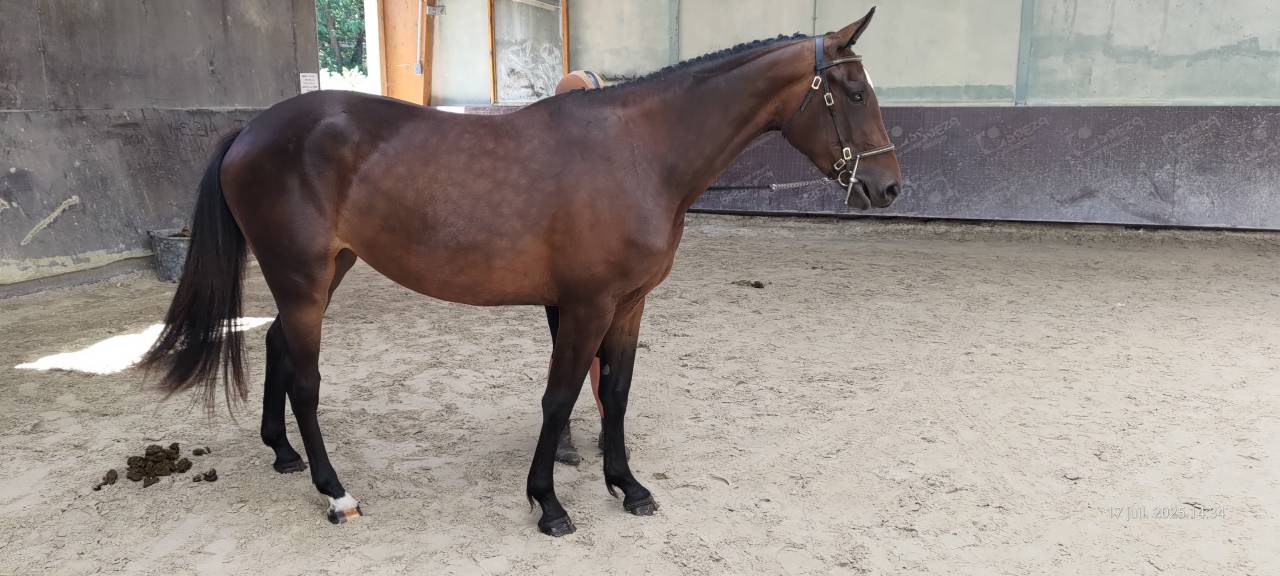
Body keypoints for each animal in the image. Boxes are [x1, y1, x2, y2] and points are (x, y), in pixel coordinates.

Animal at [141, 8, 901, 536]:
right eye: (853, 93)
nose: (889, 187)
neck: (637, 152)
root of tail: (250, 130)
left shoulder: (628, 306)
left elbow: (614, 394)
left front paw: (628, 487)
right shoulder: (588, 305)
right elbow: (559, 398)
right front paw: (548, 503)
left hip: (326, 272)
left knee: (273, 345)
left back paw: (283, 455)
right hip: (301, 280)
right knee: (305, 381)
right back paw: (336, 492)